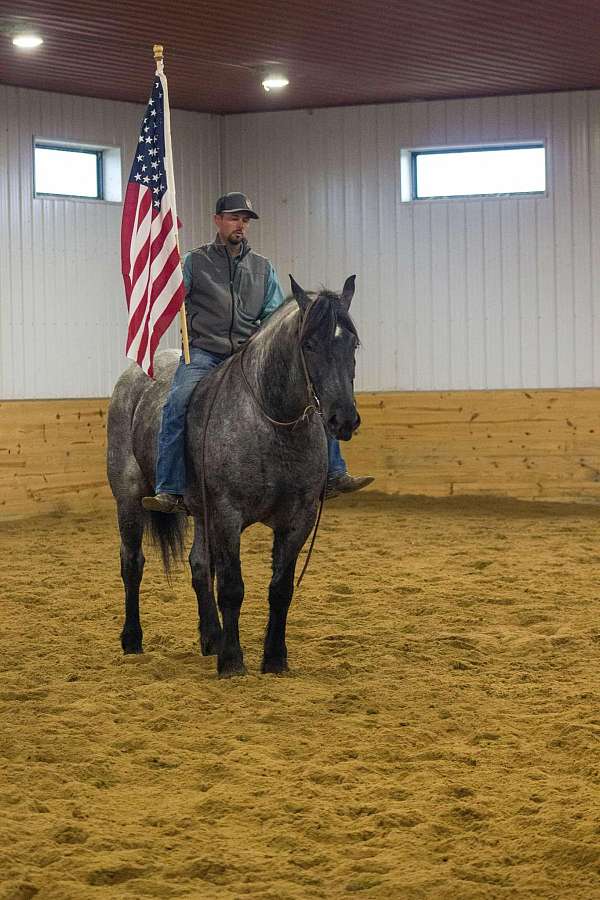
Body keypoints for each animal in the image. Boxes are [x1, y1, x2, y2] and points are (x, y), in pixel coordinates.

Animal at [106, 274, 360, 676]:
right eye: (308, 343)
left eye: (352, 342)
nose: (343, 419)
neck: (269, 421)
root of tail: (135, 376)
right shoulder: (227, 515)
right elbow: (231, 587)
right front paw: (232, 660)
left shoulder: (299, 519)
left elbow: (280, 589)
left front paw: (274, 658)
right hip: (129, 499)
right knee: (132, 563)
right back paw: (133, 640)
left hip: (200, 513)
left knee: (198, 566)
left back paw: (211, 637)